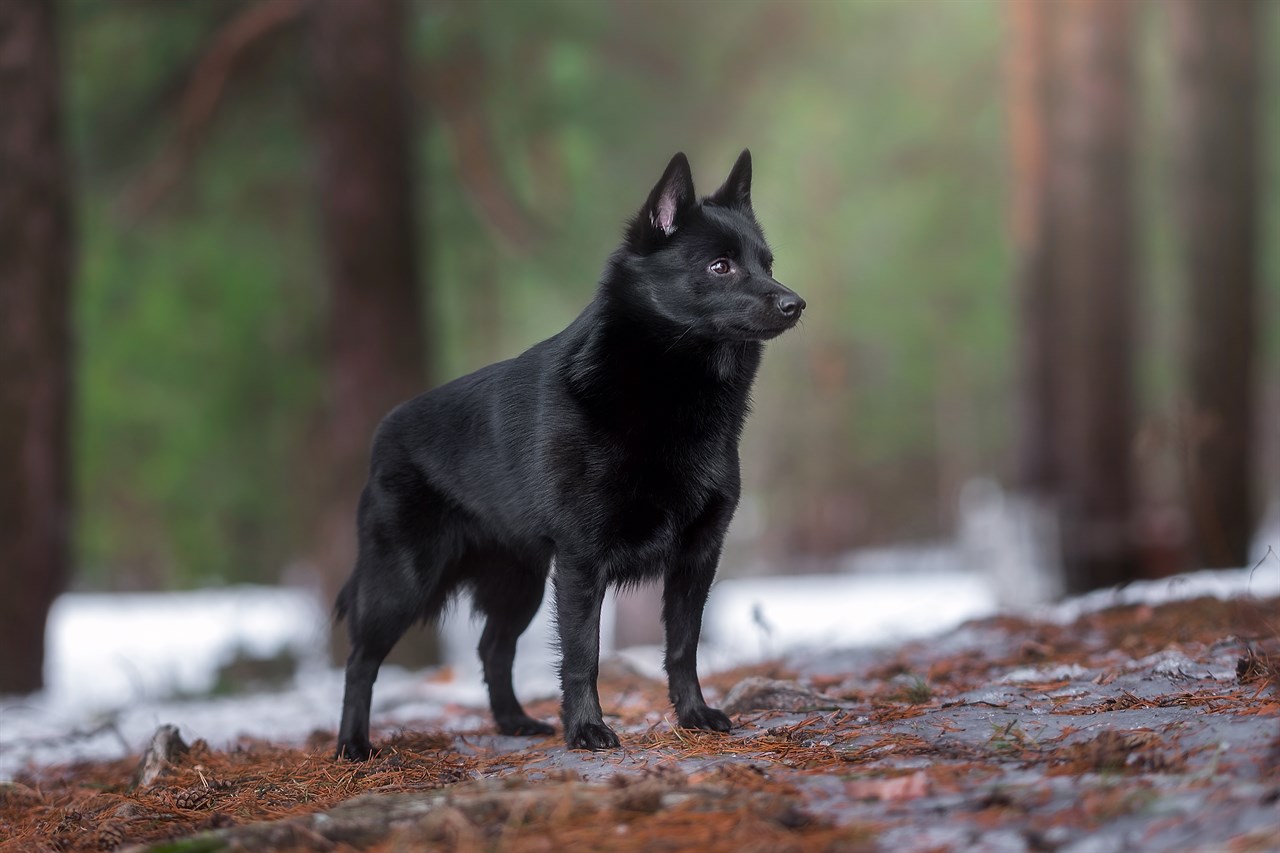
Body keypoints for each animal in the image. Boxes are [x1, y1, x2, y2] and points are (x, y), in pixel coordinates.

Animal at [335, 147, 803, 758]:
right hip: (403, 583)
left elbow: (683, 648)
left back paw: (514, 722)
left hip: (520, 585)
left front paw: (694, 715)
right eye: (720, 266)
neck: (666, 392)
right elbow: (584, 654)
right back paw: (352, 746)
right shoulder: (582, 562)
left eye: (767, 263)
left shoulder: (697, 558)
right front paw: (586, 730)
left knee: (492, 649)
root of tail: (383, 433)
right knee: (360, 661)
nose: (796, 303)